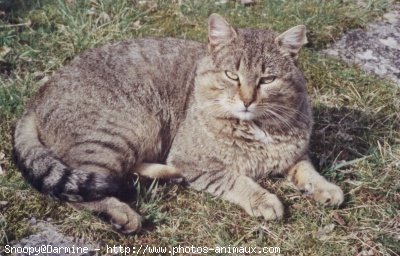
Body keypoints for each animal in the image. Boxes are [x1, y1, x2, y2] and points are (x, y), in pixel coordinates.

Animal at [13, 13, 344, 234]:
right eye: (232, 75)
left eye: (267, 79)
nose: (247, 100)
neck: (258, 125)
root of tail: (37, 97)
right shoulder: (195, 161)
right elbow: (235, 179)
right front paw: (264, 199)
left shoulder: (294, 153)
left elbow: (307, 169)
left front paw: (326, 188)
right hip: (126, 129)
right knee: (78, 191)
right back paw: (122, 212)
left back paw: (166, 175)